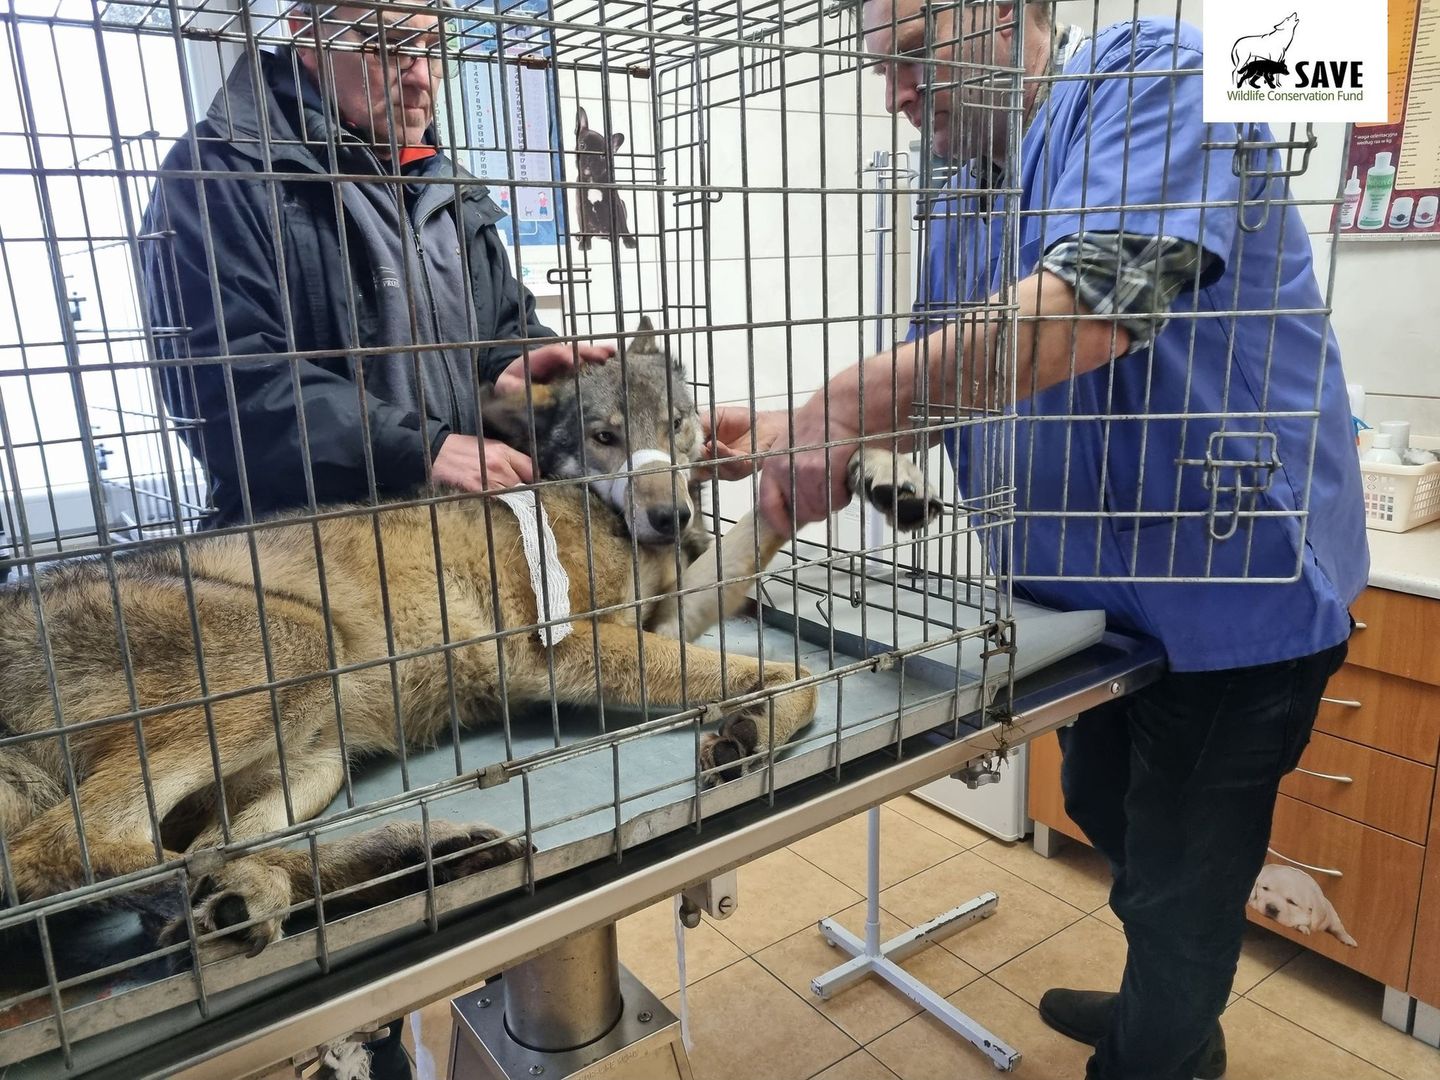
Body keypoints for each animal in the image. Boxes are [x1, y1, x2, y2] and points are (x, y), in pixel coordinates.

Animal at [0, 316, 938, 961]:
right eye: (605, 437)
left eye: (678, 423)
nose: (671, 519)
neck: (589, 502)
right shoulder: (572, 649)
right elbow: (789, 672)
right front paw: (748, 725)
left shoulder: (669, 614)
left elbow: (762, 547)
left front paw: (878, 473)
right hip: (297, 648)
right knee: (57, 853)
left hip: (311, 758)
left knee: (208, 854)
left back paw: (369, 870)